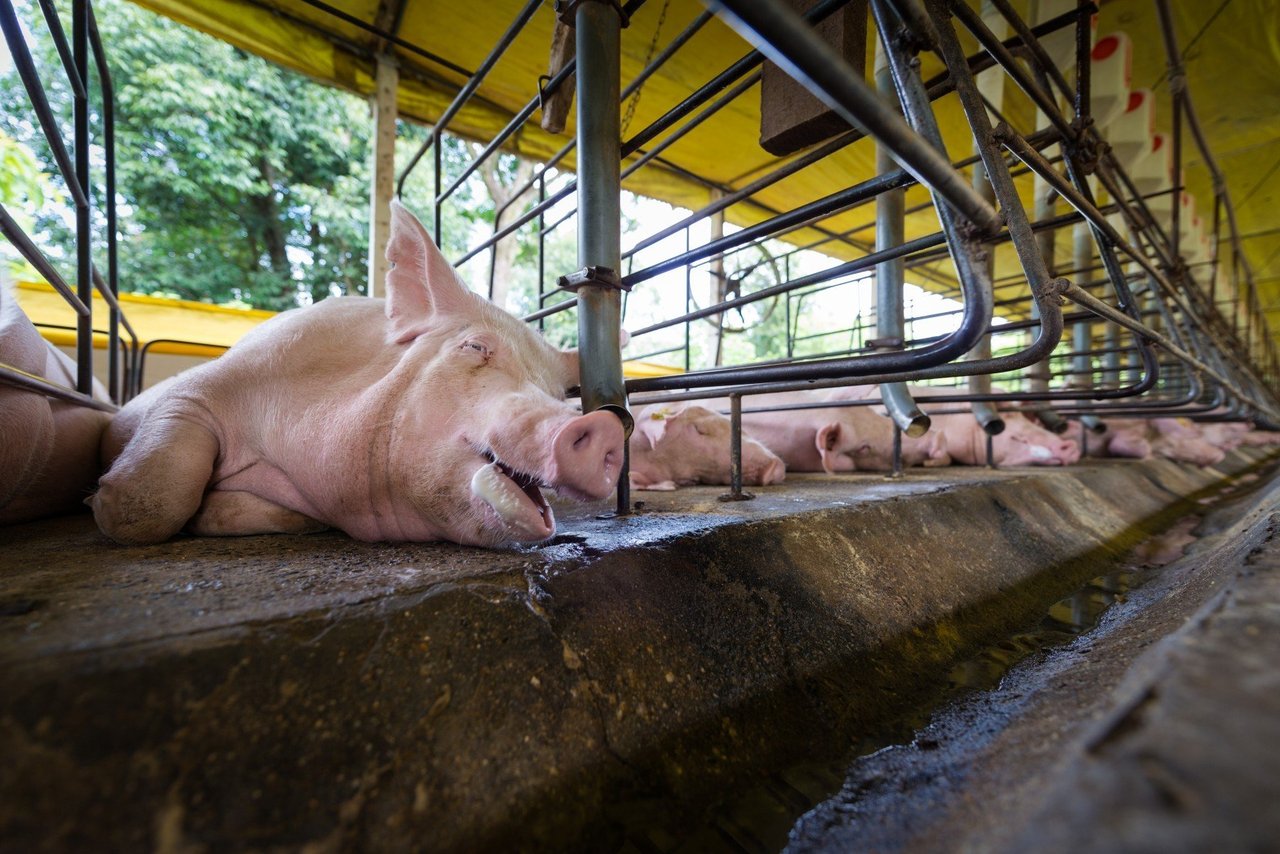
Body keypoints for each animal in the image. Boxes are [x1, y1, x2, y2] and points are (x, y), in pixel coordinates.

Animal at [91, 202, 624, 547]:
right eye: (474, 347)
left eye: (557, 391)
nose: (602, 424)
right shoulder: (203, 387)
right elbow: (152, 504)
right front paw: (98, 502)